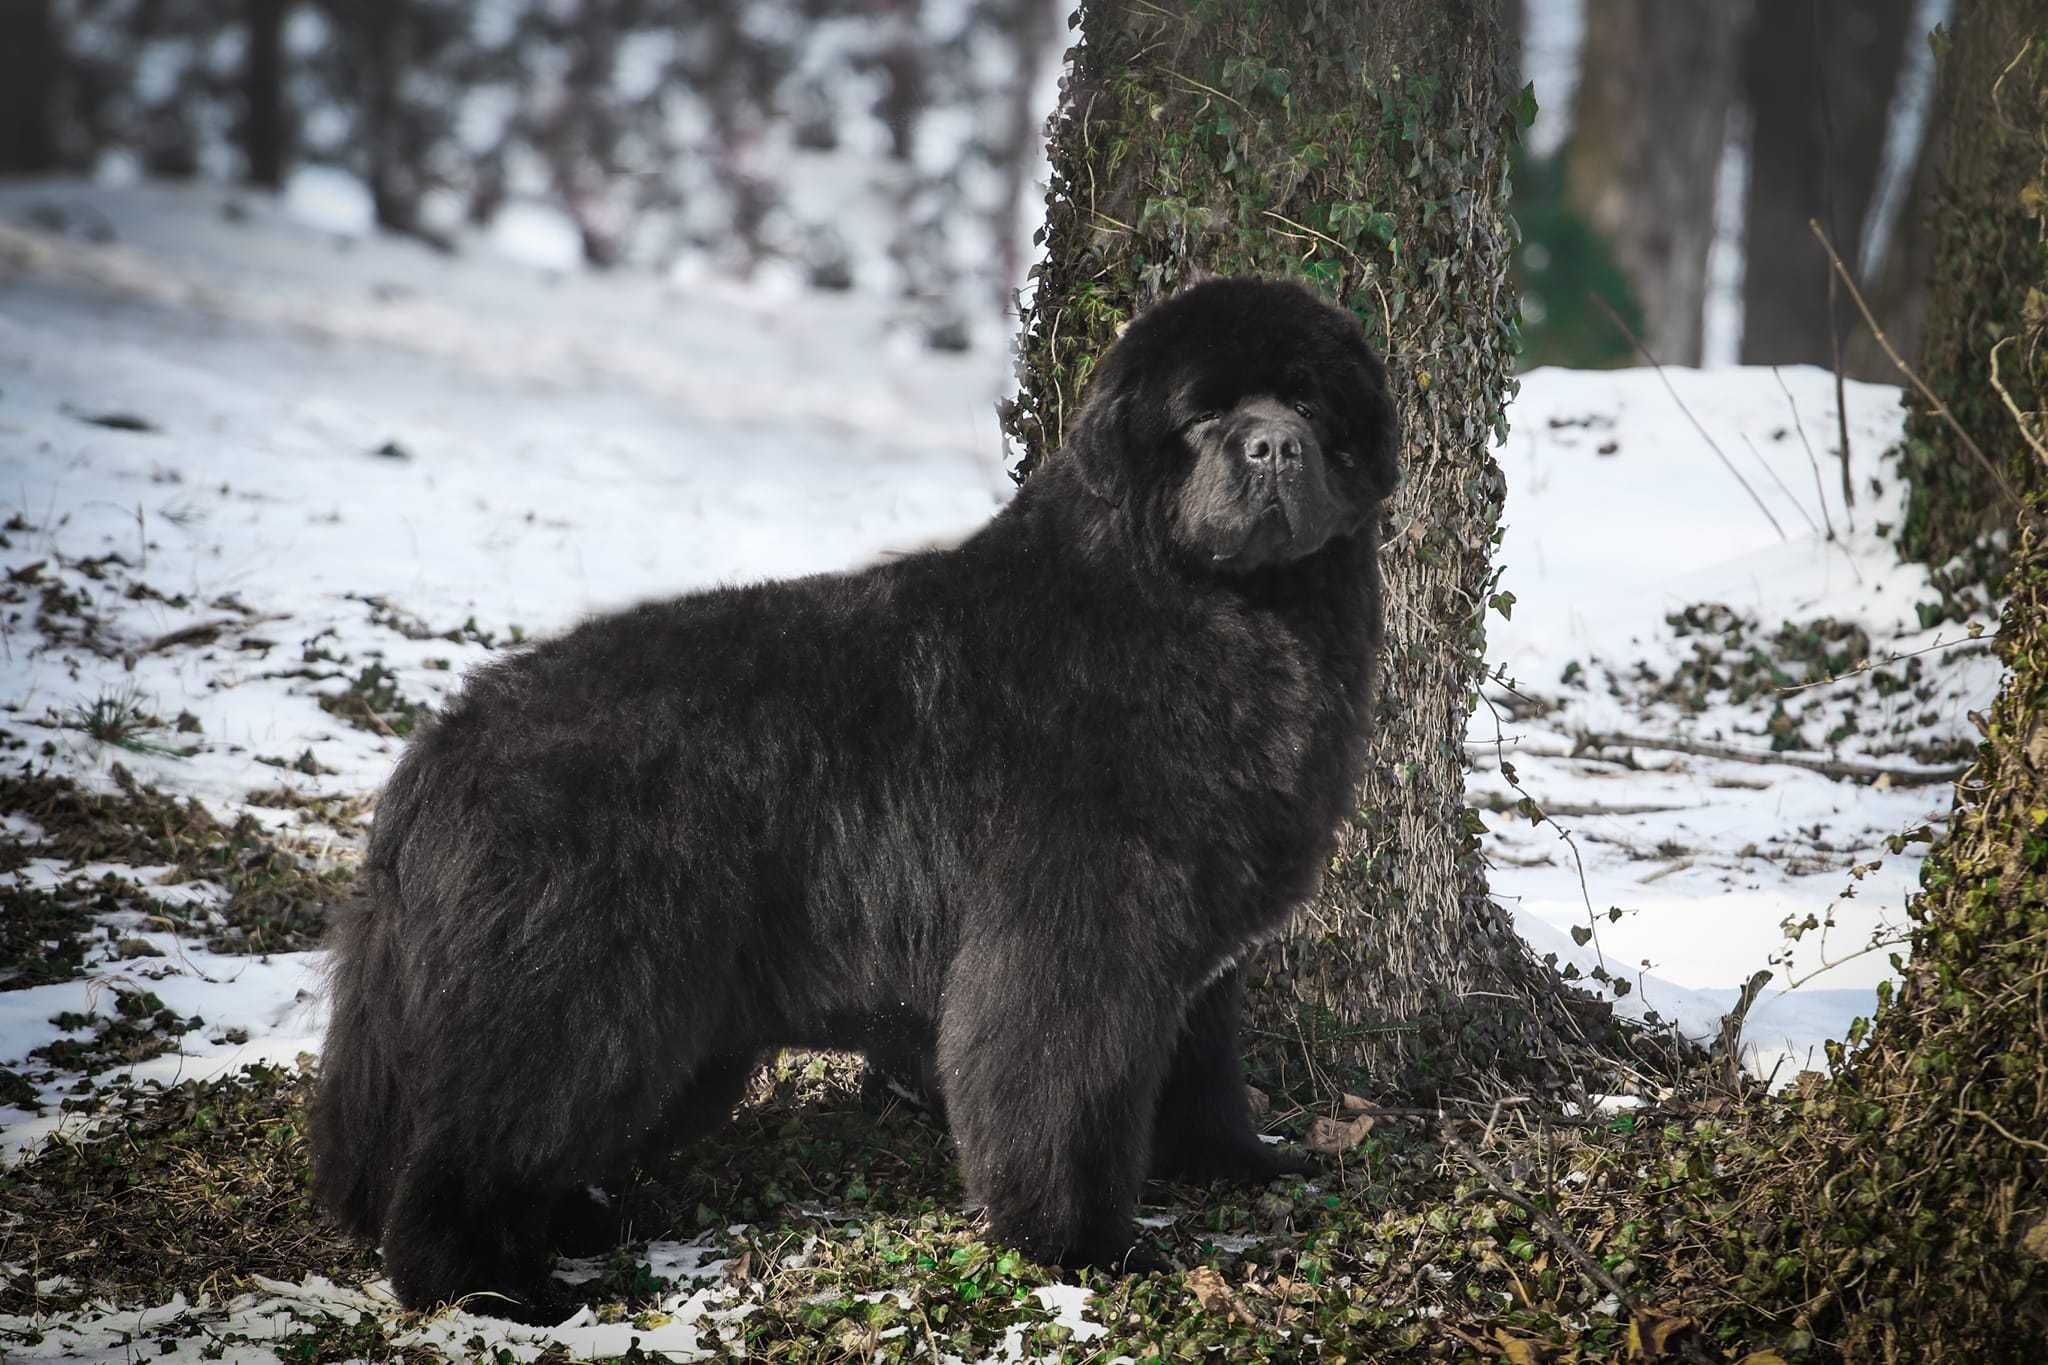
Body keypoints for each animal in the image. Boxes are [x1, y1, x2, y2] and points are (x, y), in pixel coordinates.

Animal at [311, 274, 1400, 1309]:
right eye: (1202, 412)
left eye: (1307, 401)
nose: (1274, 446)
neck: (1220, 613)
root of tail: (444, 743)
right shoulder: (1073, 936)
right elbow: (1064, 1091)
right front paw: (1084, 1244)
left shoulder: (1192, 946)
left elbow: (1199, 1068)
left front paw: (1233, 1165)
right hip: (581, 989)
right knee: (470, 1149)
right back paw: (492, 1285)